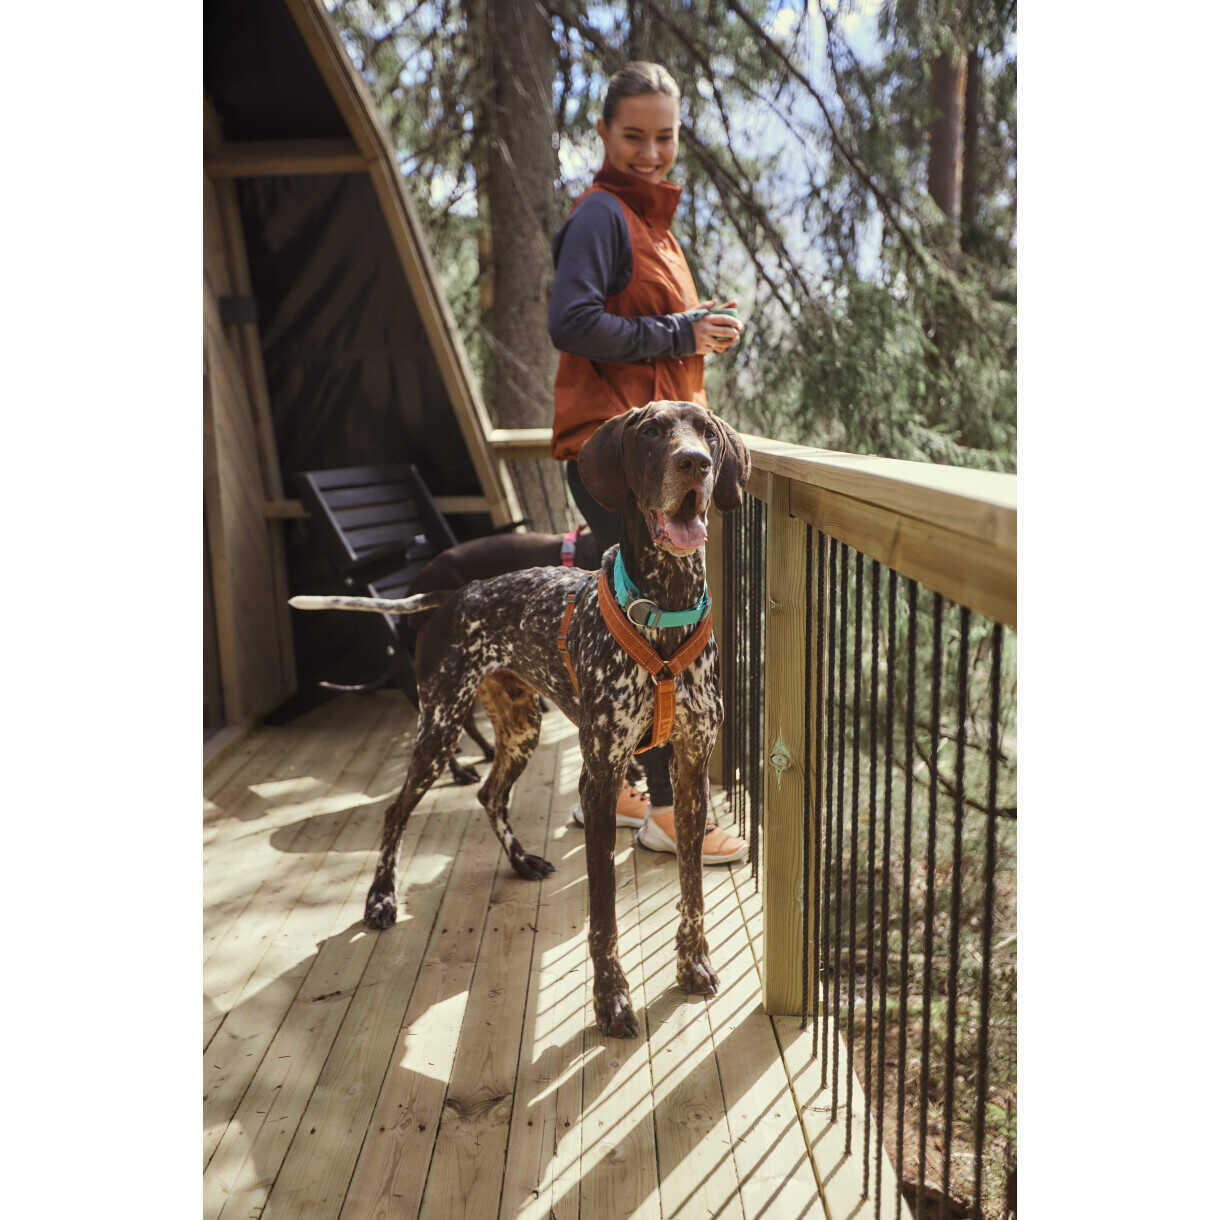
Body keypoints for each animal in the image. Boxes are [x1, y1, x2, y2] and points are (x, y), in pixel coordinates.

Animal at [290, 400, 749, 1036]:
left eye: (707, 431)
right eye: (653, 431)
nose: (695, 464)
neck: (665, 611)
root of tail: (455, 595)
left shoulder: (690, 769)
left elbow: (692, 889)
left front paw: (693, 966)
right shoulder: (599, 779)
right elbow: (604, 914)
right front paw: (612, 1000)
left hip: (521, 727)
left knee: (490, 795)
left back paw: (521, 859)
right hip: (439, 727)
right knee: (396, 811)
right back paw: (380, 898)